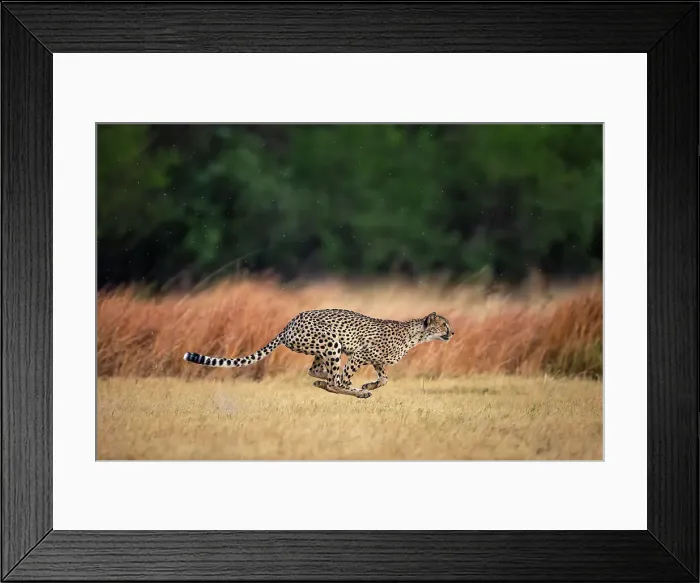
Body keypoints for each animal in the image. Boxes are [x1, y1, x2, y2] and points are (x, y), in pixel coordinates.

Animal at [183, 309, 454, 399]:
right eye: (444, 324)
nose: (452, 333)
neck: (415, 335)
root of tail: (290, 323)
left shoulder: (376, 361)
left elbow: (385, 378)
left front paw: (370, 384)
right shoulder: (360, 354)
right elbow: (344, 380)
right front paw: (363, 388)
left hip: (321, 349)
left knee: (314, 370)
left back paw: (323, 380)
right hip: (332, 343)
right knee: (334, 381)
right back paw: (356, 392)